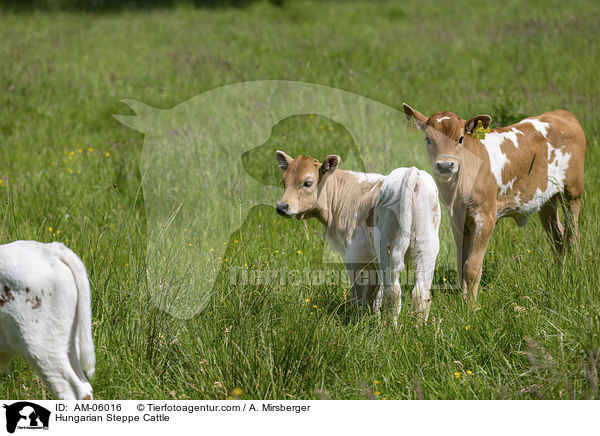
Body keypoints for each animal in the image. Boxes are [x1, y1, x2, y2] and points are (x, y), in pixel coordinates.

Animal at [404, 104, 584, 304]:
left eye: (460, 139)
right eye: (428, 139)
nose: (444, 165)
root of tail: (563, 114)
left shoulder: (486, 217)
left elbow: (471, 267)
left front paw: (471, 307)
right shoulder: (457, 220)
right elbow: (461, 264)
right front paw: (464, 301)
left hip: (573, 192)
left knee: (572, 236)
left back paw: (574, 274)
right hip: (546, 200)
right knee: (558, 238)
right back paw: (560, 276)